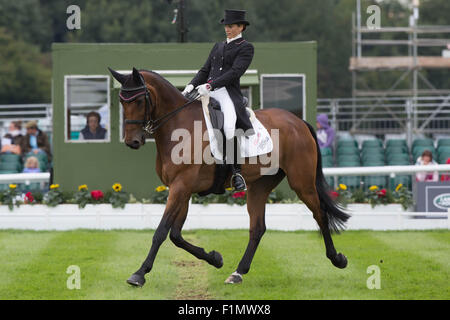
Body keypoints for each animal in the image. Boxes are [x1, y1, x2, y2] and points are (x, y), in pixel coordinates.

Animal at [107, 67, 350, 288]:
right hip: (260, 185)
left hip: (302, 183)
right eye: (121, 101)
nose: (132, 141)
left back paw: (337, 259)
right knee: (257, 228)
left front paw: (139, 274)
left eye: (139, 101)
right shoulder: (181, 189)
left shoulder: (181, 187)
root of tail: (298, 122)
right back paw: (238, 272)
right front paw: (215, 258)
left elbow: (161, 231)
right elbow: (175, 235)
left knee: (320, 214)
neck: (178, 125)